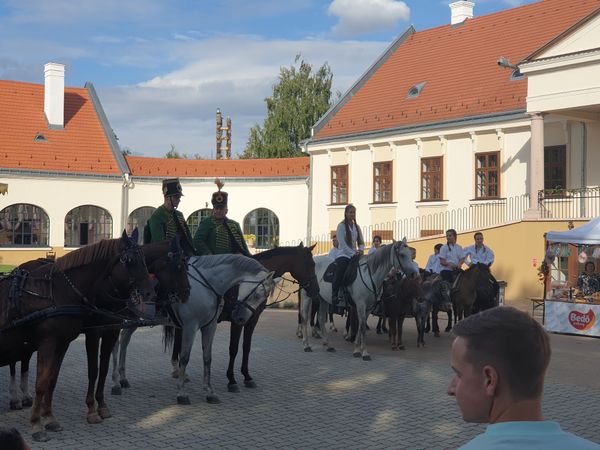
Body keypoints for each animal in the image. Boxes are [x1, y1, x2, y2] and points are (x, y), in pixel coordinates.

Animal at [0, 230, 155, 442]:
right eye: (129, 260)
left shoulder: (65, 342)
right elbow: (42, 382)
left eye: (144, 259)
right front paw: (37, 424)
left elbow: (53, 380)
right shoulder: (51, 342)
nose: (149, 292)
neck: (59, 291)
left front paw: (49, 418)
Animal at [163, 255, 276, 406]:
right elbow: (186, 358)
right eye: (257, 294)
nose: (240, 318)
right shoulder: (190, 325)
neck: (205, 285)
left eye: (264, 297)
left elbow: (208, 357)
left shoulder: (211, 326)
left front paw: (210, 391)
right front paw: (182, 393)